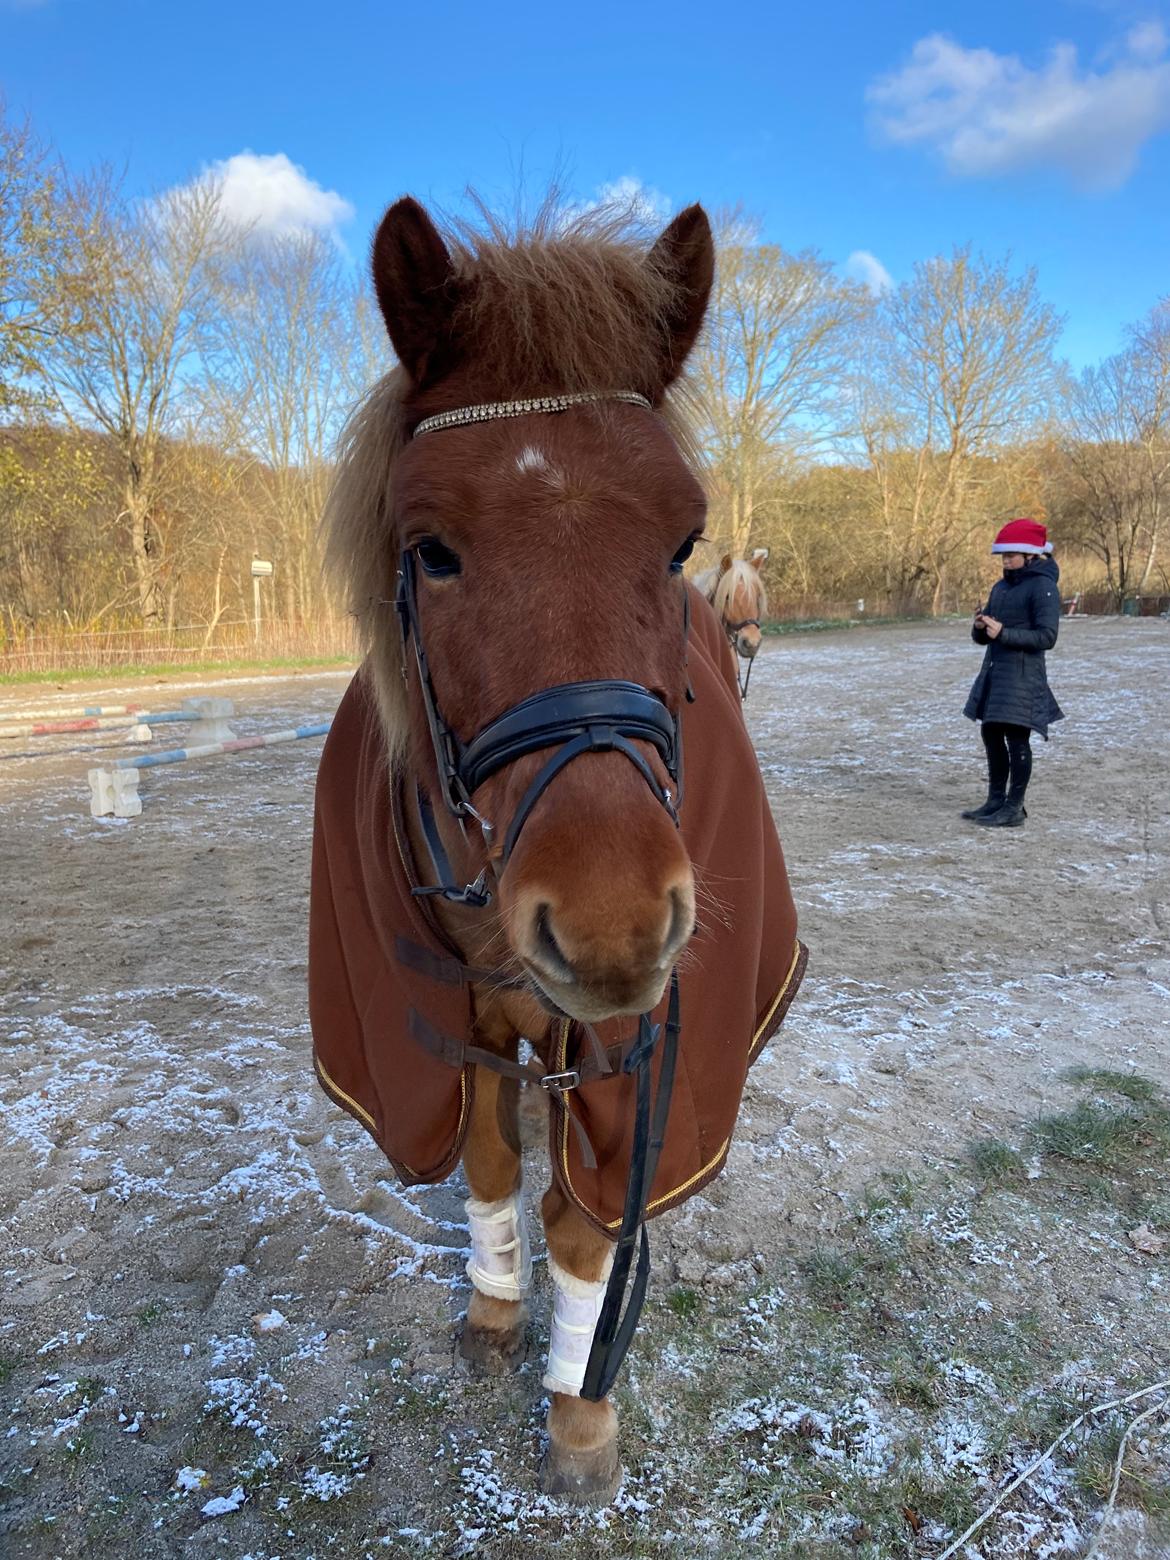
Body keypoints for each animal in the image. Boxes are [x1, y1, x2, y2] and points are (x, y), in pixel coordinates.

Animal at [316, 191, 804, 1497]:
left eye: (683, 542)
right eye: (432, 548)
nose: (612, 923)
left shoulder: (628, 1045)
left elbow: (587, 1219)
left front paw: (580, 1406)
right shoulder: (456, 1023)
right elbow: (489, 1167)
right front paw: (493, 1310)